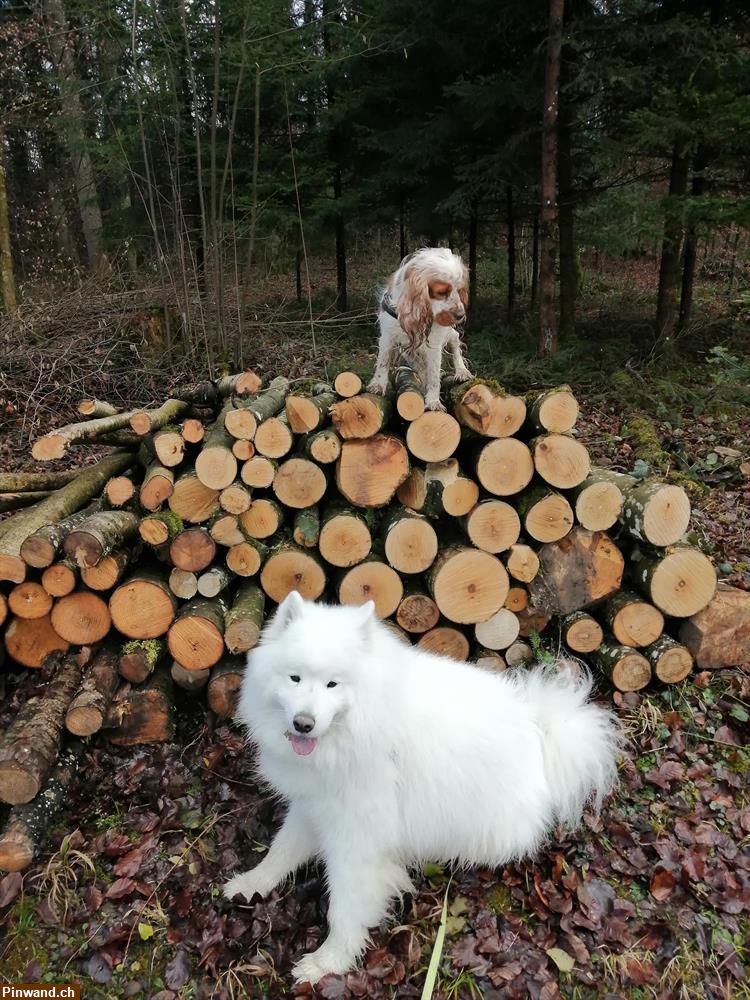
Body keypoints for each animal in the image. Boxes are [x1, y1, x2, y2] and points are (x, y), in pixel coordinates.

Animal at [223, 592, 624, 984]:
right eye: (294, 678)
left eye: (332, 684)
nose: (303, 723)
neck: (357, 733)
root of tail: (537, 728)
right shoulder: (314, 805)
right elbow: (281, 851)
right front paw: (251, 883)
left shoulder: (357, 837)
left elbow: (345, 906)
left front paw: (328, 963)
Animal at [370, 248, 476, 408]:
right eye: (441, 292)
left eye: (459, 290)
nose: (461, 315)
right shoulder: (388, 336)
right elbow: (383, 361)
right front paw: (378, 385)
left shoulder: (434, 344)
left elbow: (433, 375)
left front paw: (433, 401)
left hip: (447, 332)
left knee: (455, 339)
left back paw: (462, 371)